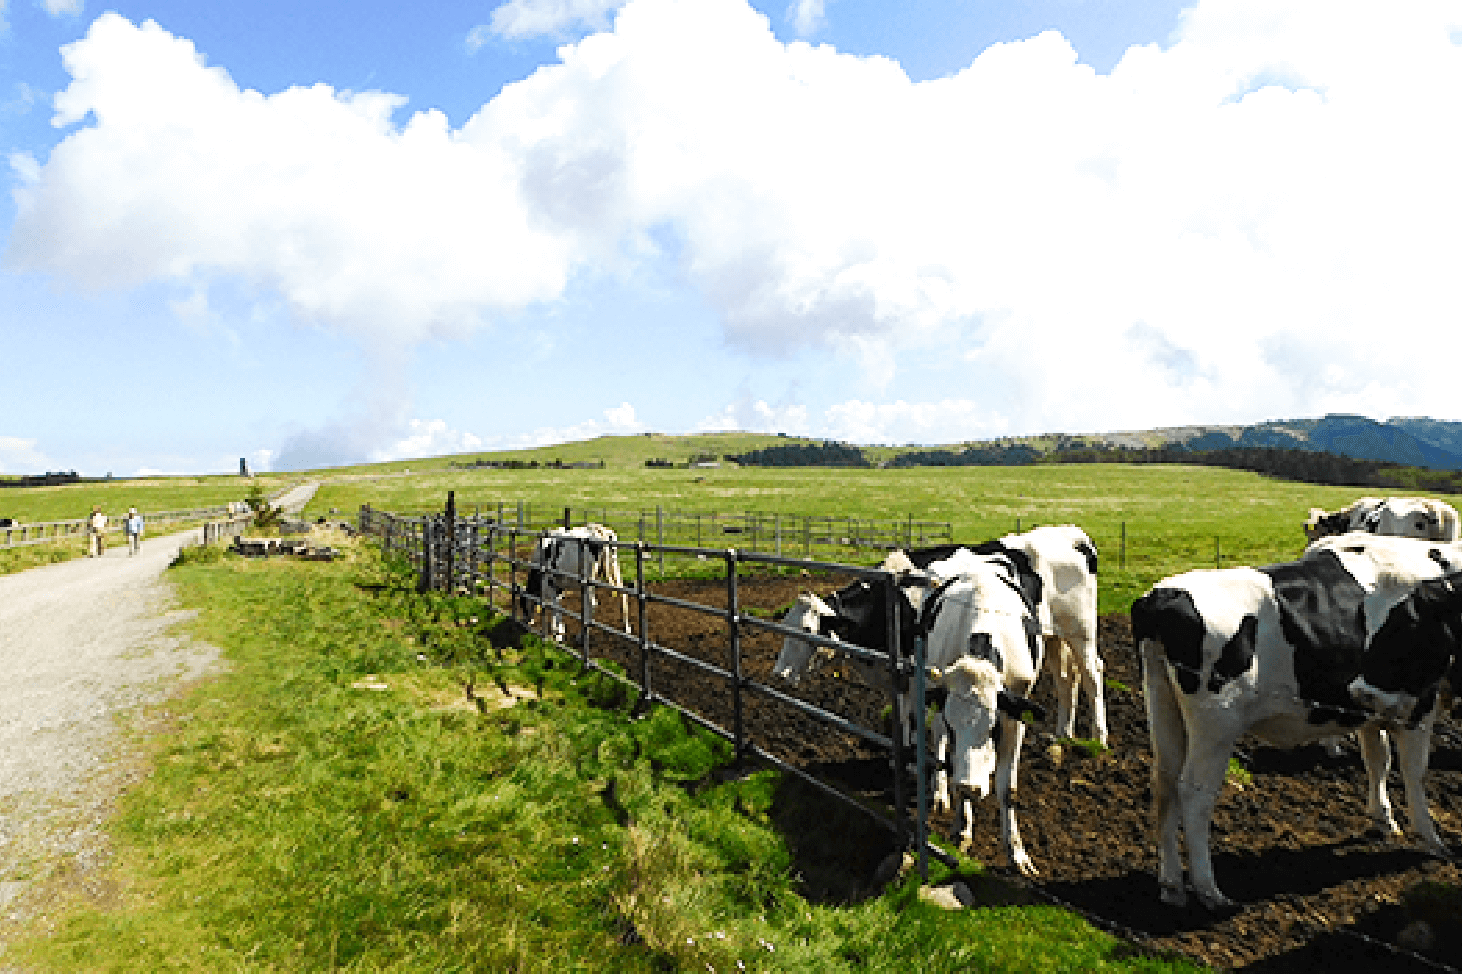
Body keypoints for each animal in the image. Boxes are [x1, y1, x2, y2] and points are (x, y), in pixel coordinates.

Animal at [1134, 526, 1462, 906]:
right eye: (1402, 626)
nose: (1359, 687)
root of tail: (1162, 594)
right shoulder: (1418, 703)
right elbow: (1414, 772)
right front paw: (1432, 839)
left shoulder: (1372, 710)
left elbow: (1378, 759)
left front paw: (1383, 819)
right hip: (1216, 727)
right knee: (1194, 792)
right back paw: (1208, 889)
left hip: (1164, 710)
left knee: (1165, 784)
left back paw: (1172, 885)